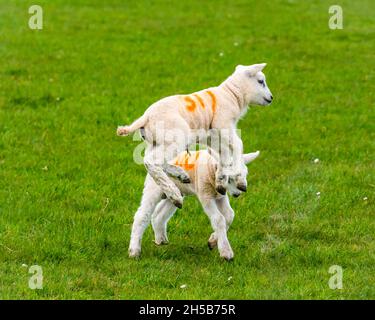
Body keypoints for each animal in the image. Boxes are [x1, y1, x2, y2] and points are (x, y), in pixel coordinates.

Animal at [117, 63, 274, 209]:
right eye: (261, 81)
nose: (271, 98)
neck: (232, 95)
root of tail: (145, 117)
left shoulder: (211, 135)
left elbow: (223, 153)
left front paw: (221, 181)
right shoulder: (223, 124)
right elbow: (238, 144)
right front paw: (240, 178)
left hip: (155, 141)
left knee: (153, 160)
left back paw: (181, 175)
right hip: (177, 136)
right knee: (151, 161)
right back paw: (175, 196)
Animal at [128, 148, 260, 260]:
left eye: (245, 175)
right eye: (229, 178)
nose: (238, 194)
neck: (212, 170)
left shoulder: (220, 196)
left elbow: (229, 215)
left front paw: (213, 241)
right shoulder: (205, 195)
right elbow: (218, 219)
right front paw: (226, 252)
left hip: (176, 193)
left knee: (160, 213)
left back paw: (161, 239)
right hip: (154, 187)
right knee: (142, 215)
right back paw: (134, 251)